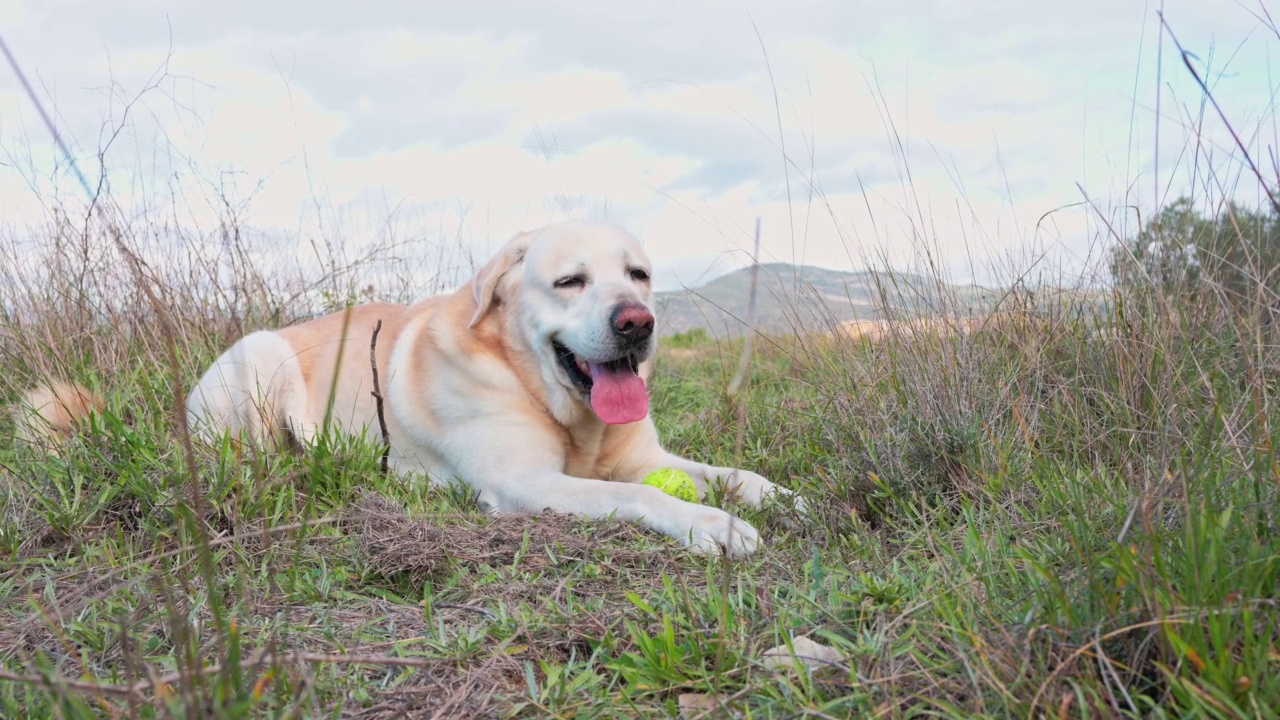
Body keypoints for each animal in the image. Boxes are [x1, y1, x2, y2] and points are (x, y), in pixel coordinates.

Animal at [185, 221, 793, 550]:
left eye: (638, 274)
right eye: (570, 281)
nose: (638, 322)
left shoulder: (648, 458)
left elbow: (732, 474)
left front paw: (782, 496)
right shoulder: (523, 481)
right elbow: (635, 494)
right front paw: (710, 524)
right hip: (262, 354)